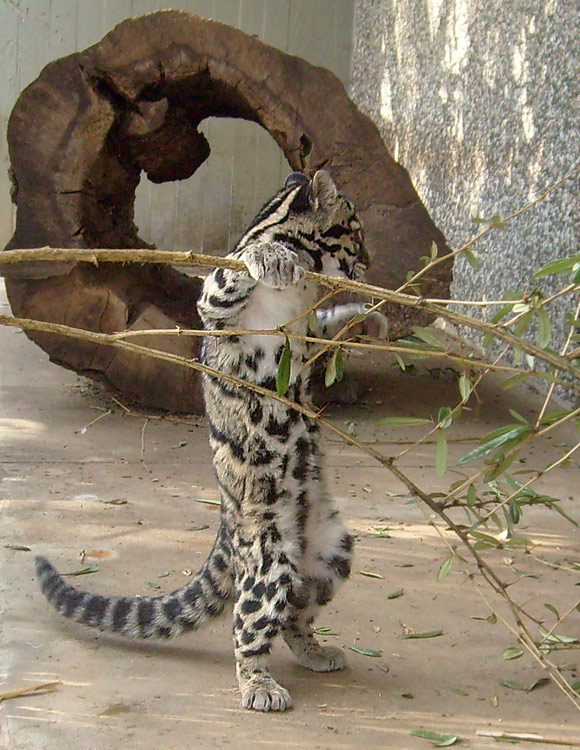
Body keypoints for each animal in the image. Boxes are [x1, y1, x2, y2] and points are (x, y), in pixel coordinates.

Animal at [35, 172, 386, 716]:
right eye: (355, 232)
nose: (368, 264)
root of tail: (227, 522)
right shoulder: (216, 307)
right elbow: (231, 271)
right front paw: (270, 257)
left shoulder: (311, 334)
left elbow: (329, 327)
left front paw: (366, 317)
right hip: (268, 559)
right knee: (249, 627)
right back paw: (259, 686)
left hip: (333, 555)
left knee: (294, 616)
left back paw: (315, 651)